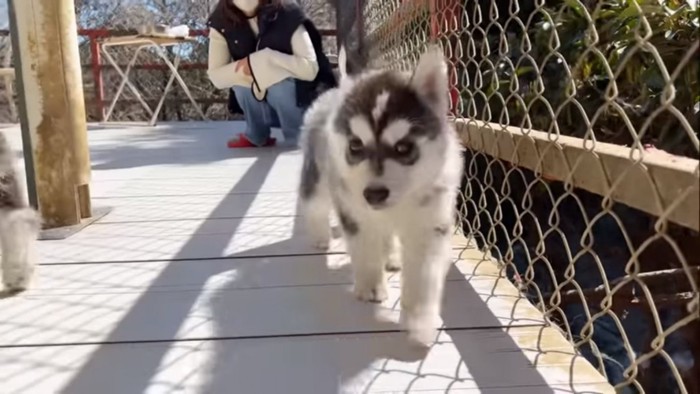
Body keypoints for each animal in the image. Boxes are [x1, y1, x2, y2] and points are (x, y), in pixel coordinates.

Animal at [298, 44, 462, 344]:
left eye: (403, 147)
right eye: (355, 145)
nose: (373, 194)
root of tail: (334, 93)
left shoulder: (429, 223)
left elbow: (423, 275)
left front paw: (419, 319)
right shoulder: (355, 211)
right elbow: (365, 248)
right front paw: (371, 287)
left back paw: (393, 258)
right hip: (319, 175)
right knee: (313, 203)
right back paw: (320, 237)